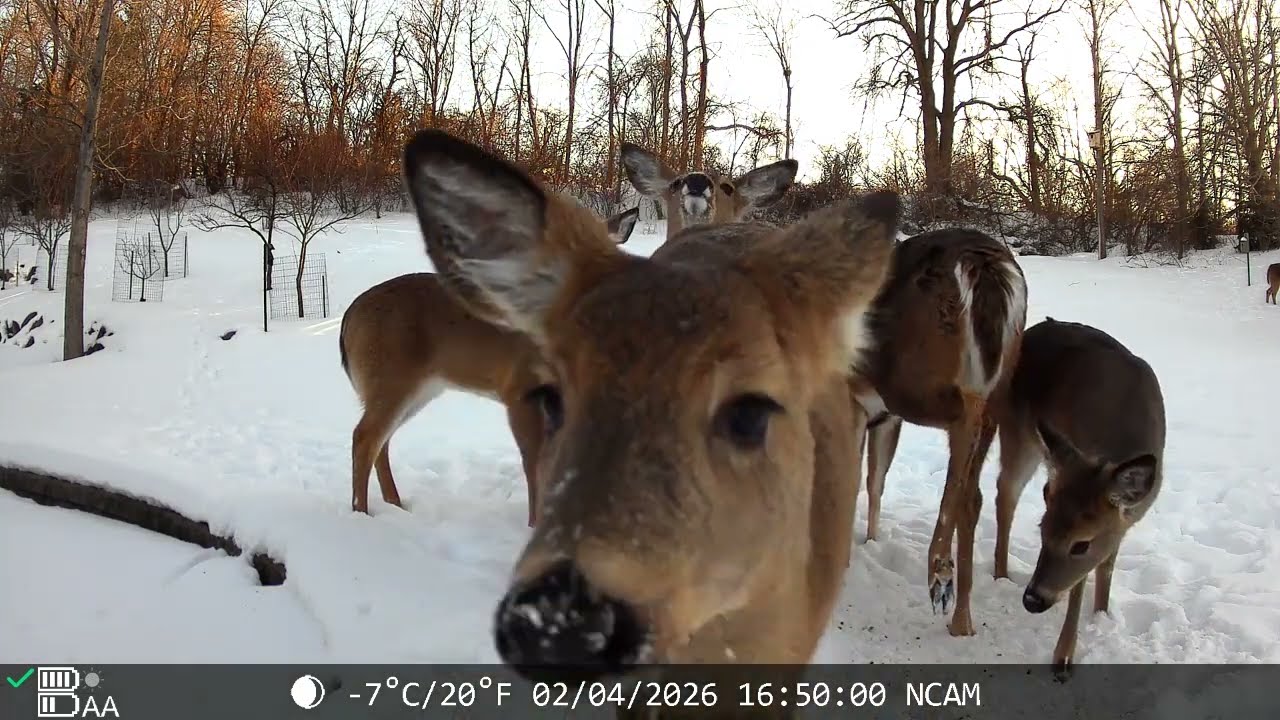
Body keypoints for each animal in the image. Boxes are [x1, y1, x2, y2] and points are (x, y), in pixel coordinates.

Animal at [339, 206, 640, 523]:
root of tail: (348, 319)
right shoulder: (518, 387)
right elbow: (535, 462)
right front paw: (533, 524)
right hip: (390, 376)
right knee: (364, 437)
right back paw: (361, 513)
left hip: (419, 388)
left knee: (381, 441)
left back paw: (396, 505)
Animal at [849, 228, 1028, 638]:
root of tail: (986, 265)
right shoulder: (882, 418)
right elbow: (873, 479)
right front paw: (869, 542)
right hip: (999, 380)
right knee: (973, 493)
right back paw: (961, 618)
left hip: (913, 381)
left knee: (966, 416)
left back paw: (940, 569)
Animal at [990, 317, 1164, 676]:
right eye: (1042, 530)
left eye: (1081, 545)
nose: (1032, 600)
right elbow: (1078, 587)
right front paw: (1063, 659)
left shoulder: (1125, 520)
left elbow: (1106, 563)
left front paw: (1102, 615)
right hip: (1016, 432)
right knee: (1004, 494)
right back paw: (1000, 574)